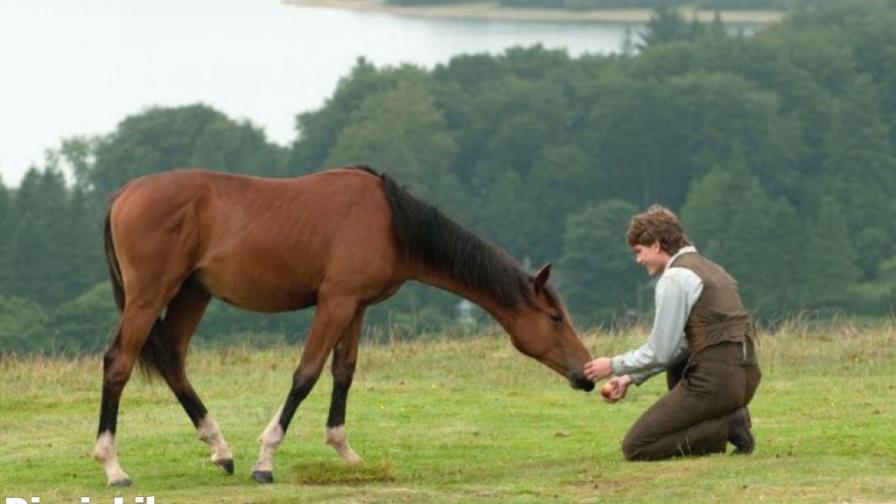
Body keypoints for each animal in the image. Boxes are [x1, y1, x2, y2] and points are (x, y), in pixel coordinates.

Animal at [93, 165, 594, 487]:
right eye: (555, 318)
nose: (586, 374)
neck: (389, 222)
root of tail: (122, 196)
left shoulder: (356, 307)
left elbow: (343, 373)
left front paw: (343, 450)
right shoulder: (334, 303)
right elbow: (306, 375)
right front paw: (266, 459)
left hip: (192, 294)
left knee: (173, 362)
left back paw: (220, 448)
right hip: (150, 296)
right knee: (118, 363)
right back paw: (112, 465)